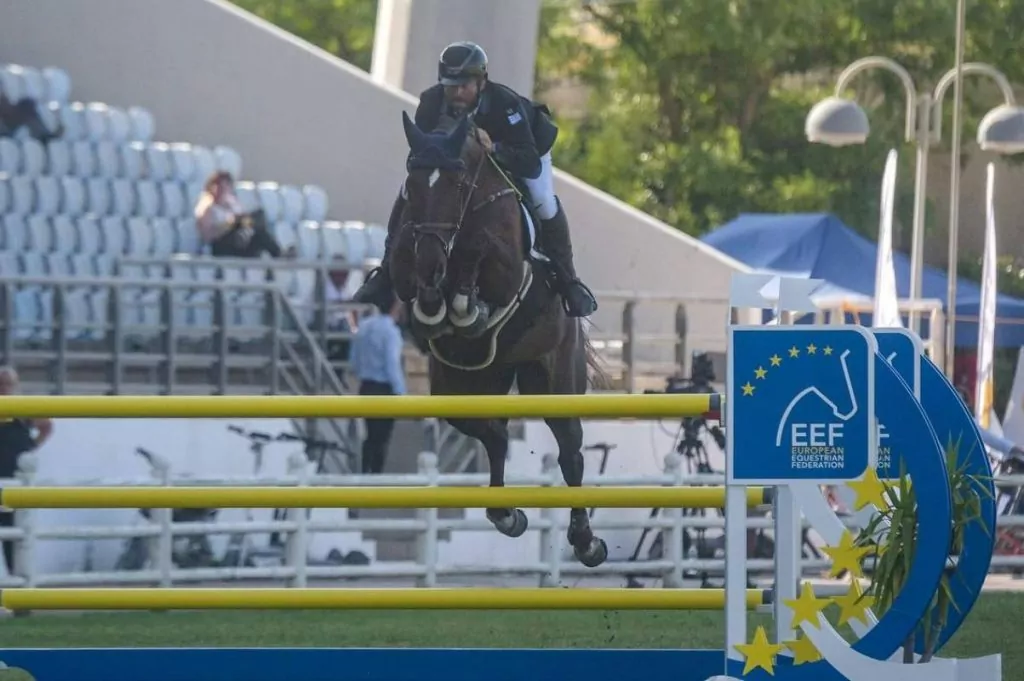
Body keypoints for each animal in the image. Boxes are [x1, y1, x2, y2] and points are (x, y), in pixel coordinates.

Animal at [387, 111, 602, 565]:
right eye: (413, 184)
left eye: (457, 184)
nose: (431, 263)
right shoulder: (406, 260)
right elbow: (414, 282)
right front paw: (438, 305)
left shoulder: (505, 268)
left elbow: (479, 249)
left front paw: (463, 301)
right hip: (463, 386)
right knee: (494, 434)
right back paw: (507, 515)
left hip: (553, 377)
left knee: (569, 450)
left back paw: (586, 541)